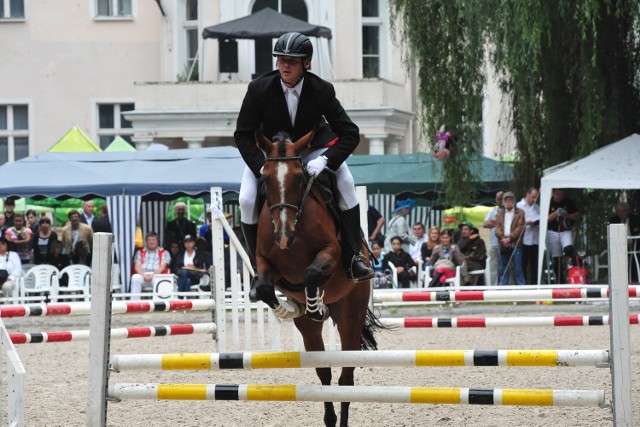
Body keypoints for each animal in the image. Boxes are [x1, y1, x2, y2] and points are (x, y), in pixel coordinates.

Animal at [249, 130, 380, 427]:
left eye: (299, 178)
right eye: (265, 178)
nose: (283, 235)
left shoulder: (330, 252)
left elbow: (311, 272)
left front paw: (313, 303)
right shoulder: (265, 262)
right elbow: (264, 287)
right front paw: (289, 307)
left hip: (351, 314)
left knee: (345, 379)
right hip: (309, 331)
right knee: (324, 374)